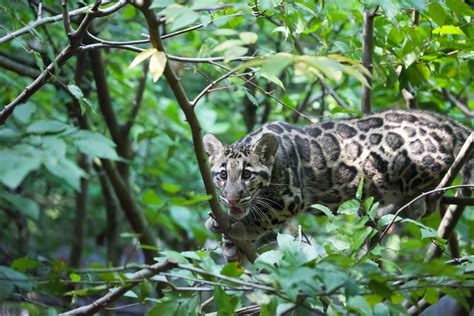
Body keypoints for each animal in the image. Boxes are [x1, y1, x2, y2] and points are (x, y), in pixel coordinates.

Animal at [205, 110, 474, 241]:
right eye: (222, 174)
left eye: (247, 174)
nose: (231, 198)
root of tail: (441, 120)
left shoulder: (291, 197)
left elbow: (263, 218)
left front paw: (239, 230)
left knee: (441, 166)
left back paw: (417, 201)